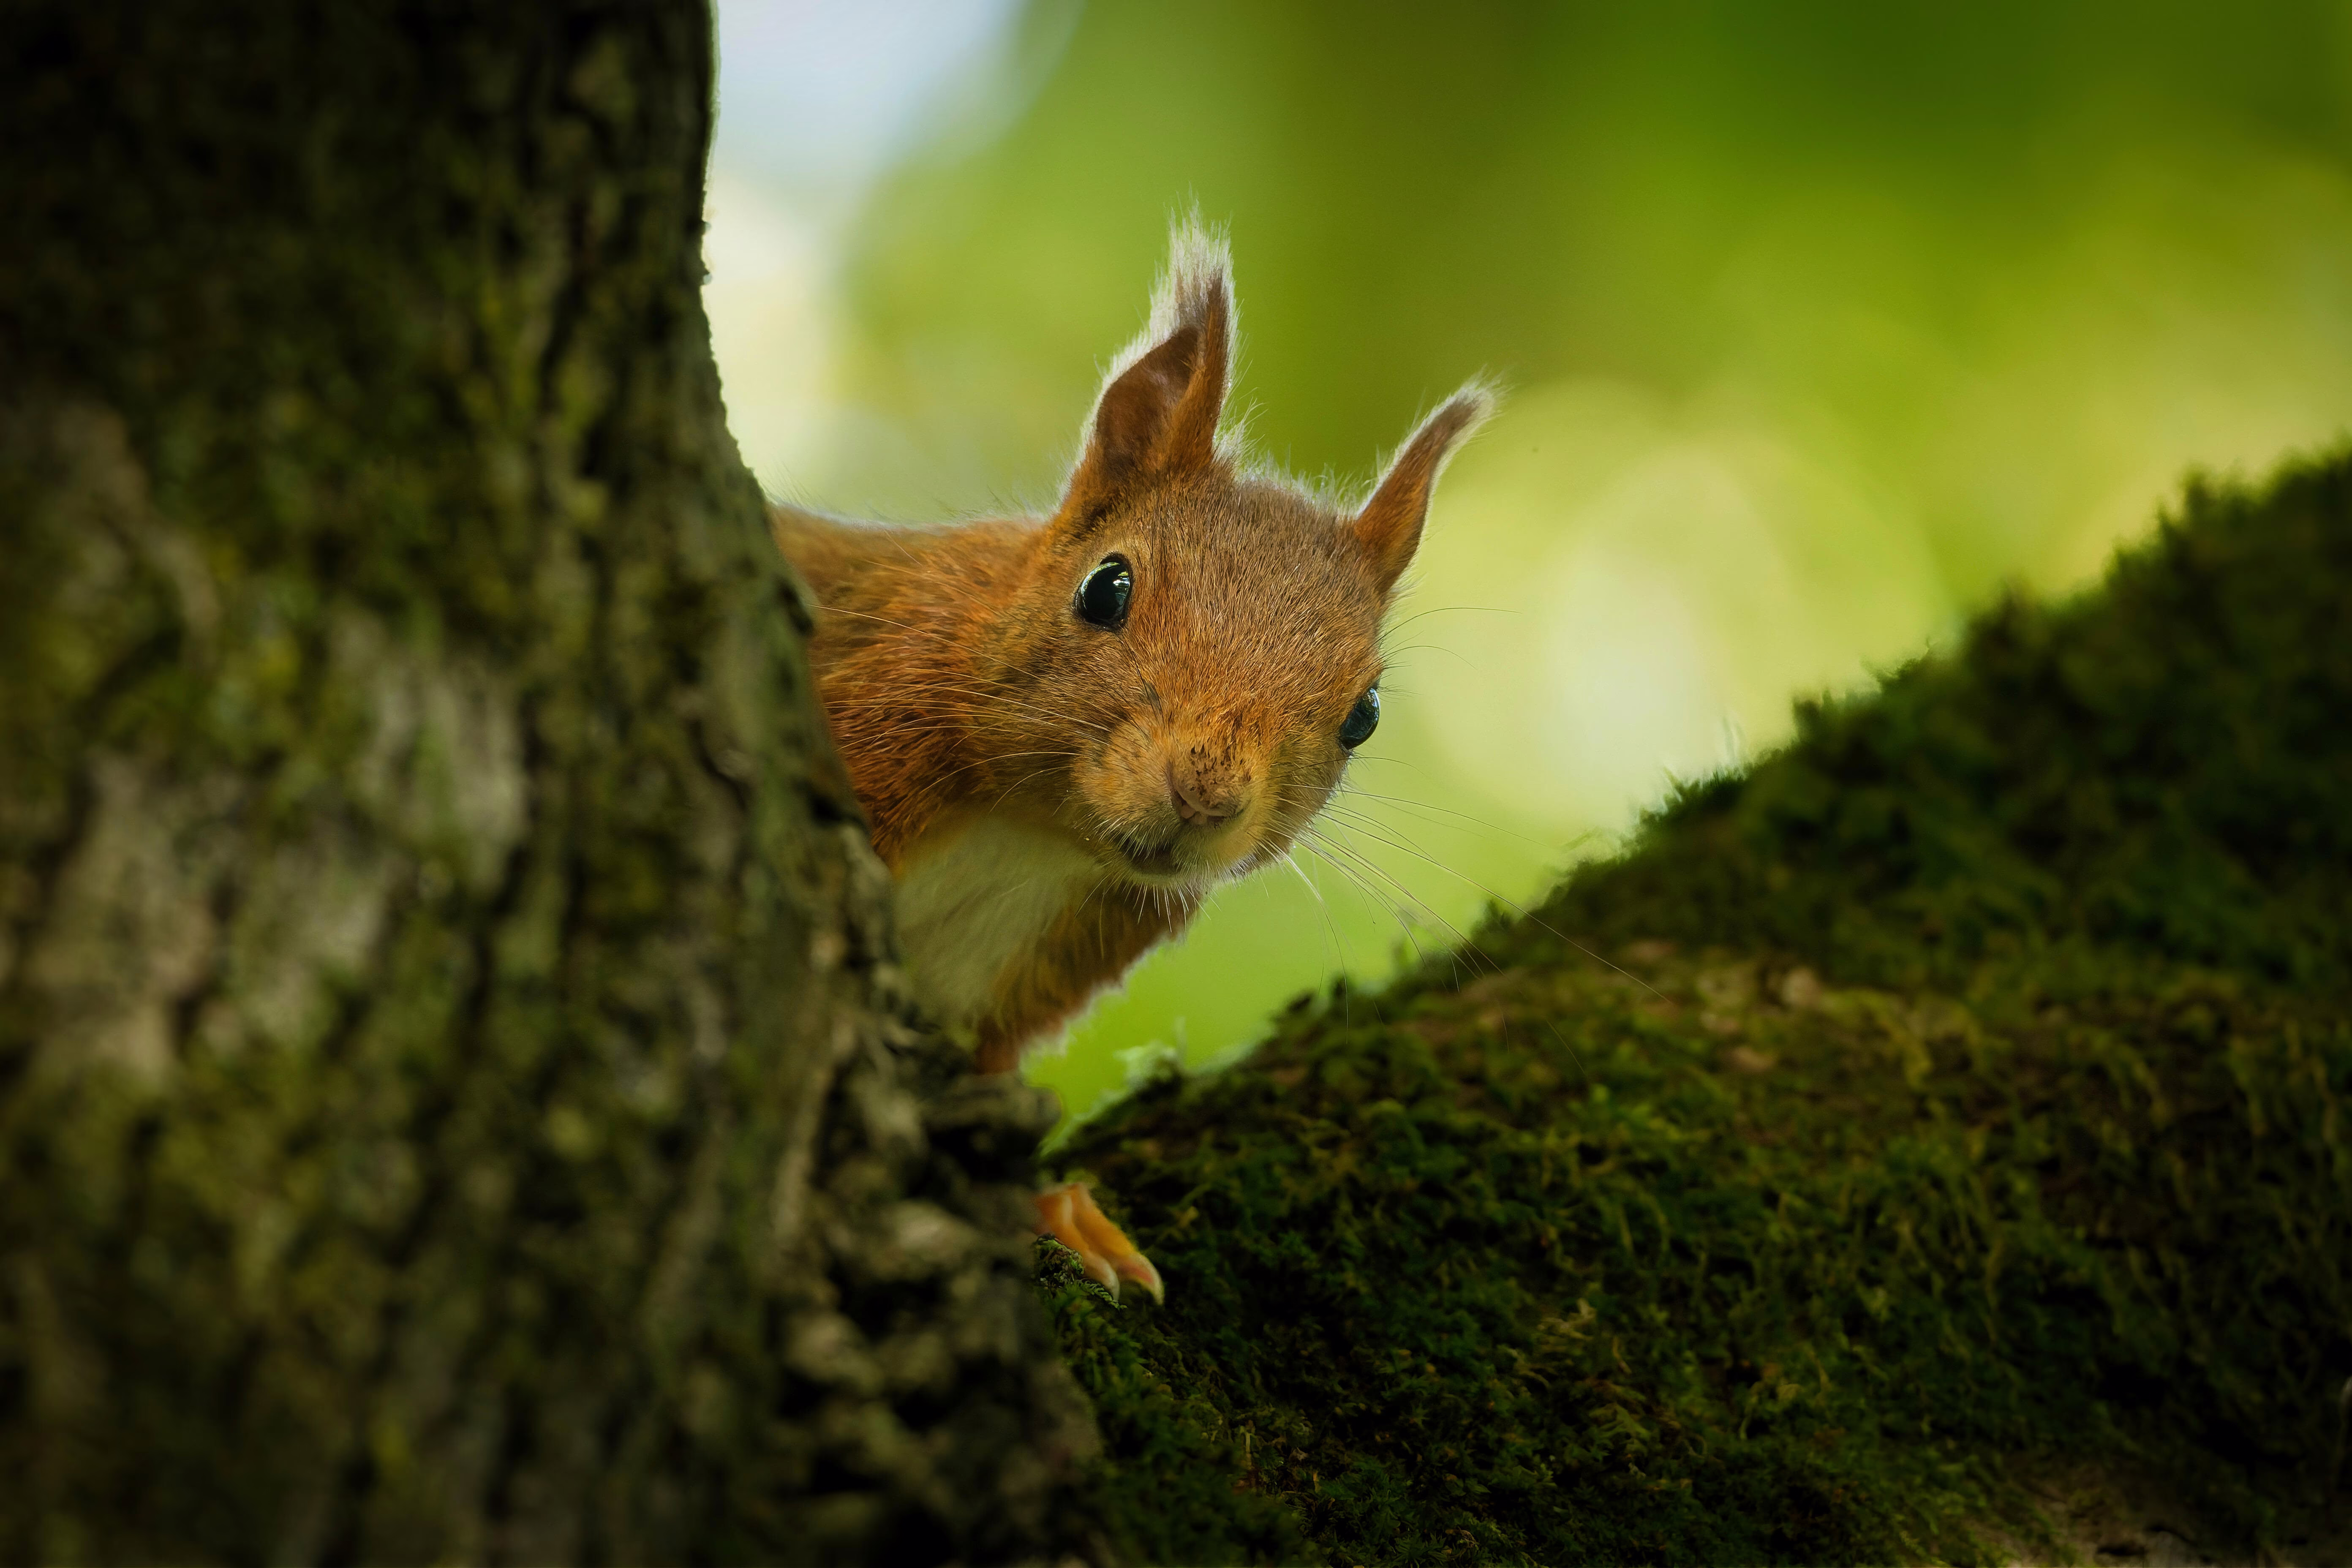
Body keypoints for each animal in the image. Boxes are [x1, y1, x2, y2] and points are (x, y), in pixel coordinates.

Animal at [771, 224, 1490, 1298]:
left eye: (1362, 716)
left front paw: (1053, 1211)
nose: (1206, 793)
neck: (1031, 835)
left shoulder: (1040, 962)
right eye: (1105, 587)